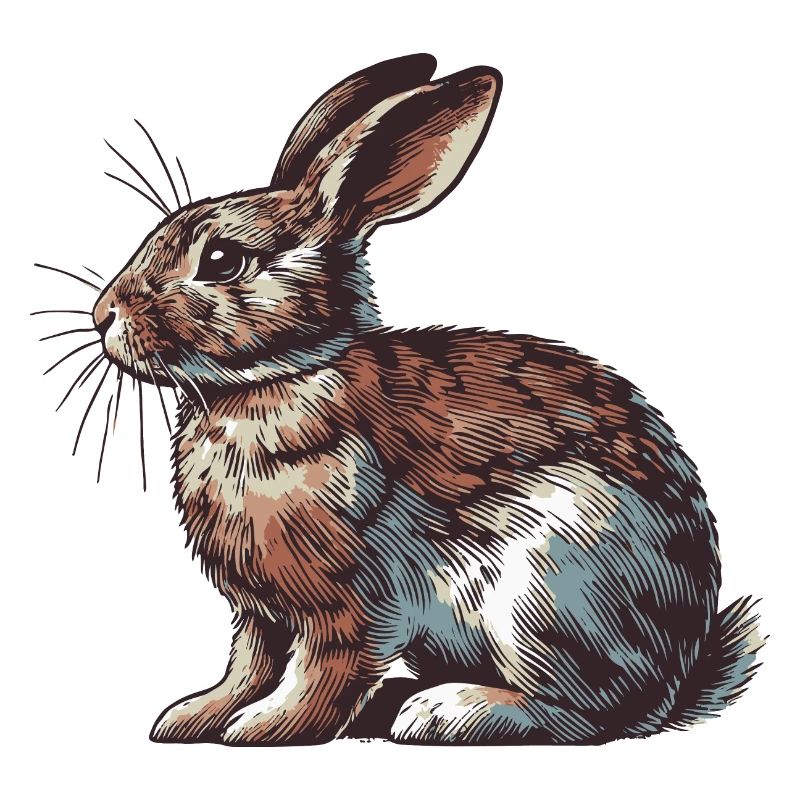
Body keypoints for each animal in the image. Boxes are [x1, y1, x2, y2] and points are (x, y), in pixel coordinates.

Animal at [81, 53, 763, 745]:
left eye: (222, 259)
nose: (103, 315)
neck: (272, 381)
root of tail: (679, 677)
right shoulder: (258, 610)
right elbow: (249, 663)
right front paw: (191, 716)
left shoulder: (351, 596)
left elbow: (323, 670)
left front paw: (269, 728)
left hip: (548, 584)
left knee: (584, 714)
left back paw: (444, 712)